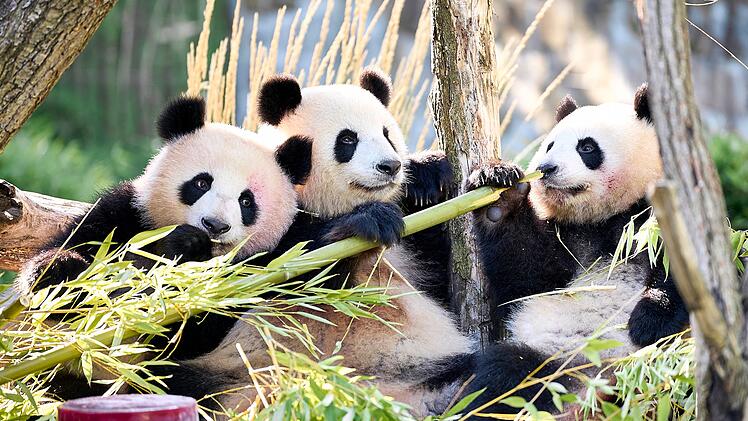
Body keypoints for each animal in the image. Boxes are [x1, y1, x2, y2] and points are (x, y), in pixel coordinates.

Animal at [13, 96, 298, 398]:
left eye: (246, 201)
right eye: (201, 183)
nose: (214, 225)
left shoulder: (257, 273)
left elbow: (192, 328)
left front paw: (186, 254)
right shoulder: (127, 215)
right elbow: (76, 252)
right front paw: (56, 271)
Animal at [459, 84, 690, 414]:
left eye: (587, 147)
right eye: (550, 145)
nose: (546, 168)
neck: (605, 217)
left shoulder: (656, 216)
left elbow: (684, 273)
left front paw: (648, 320)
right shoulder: (568, 240)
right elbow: (528, 275)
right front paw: (499, 192)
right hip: (551, 359)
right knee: (505, 380)